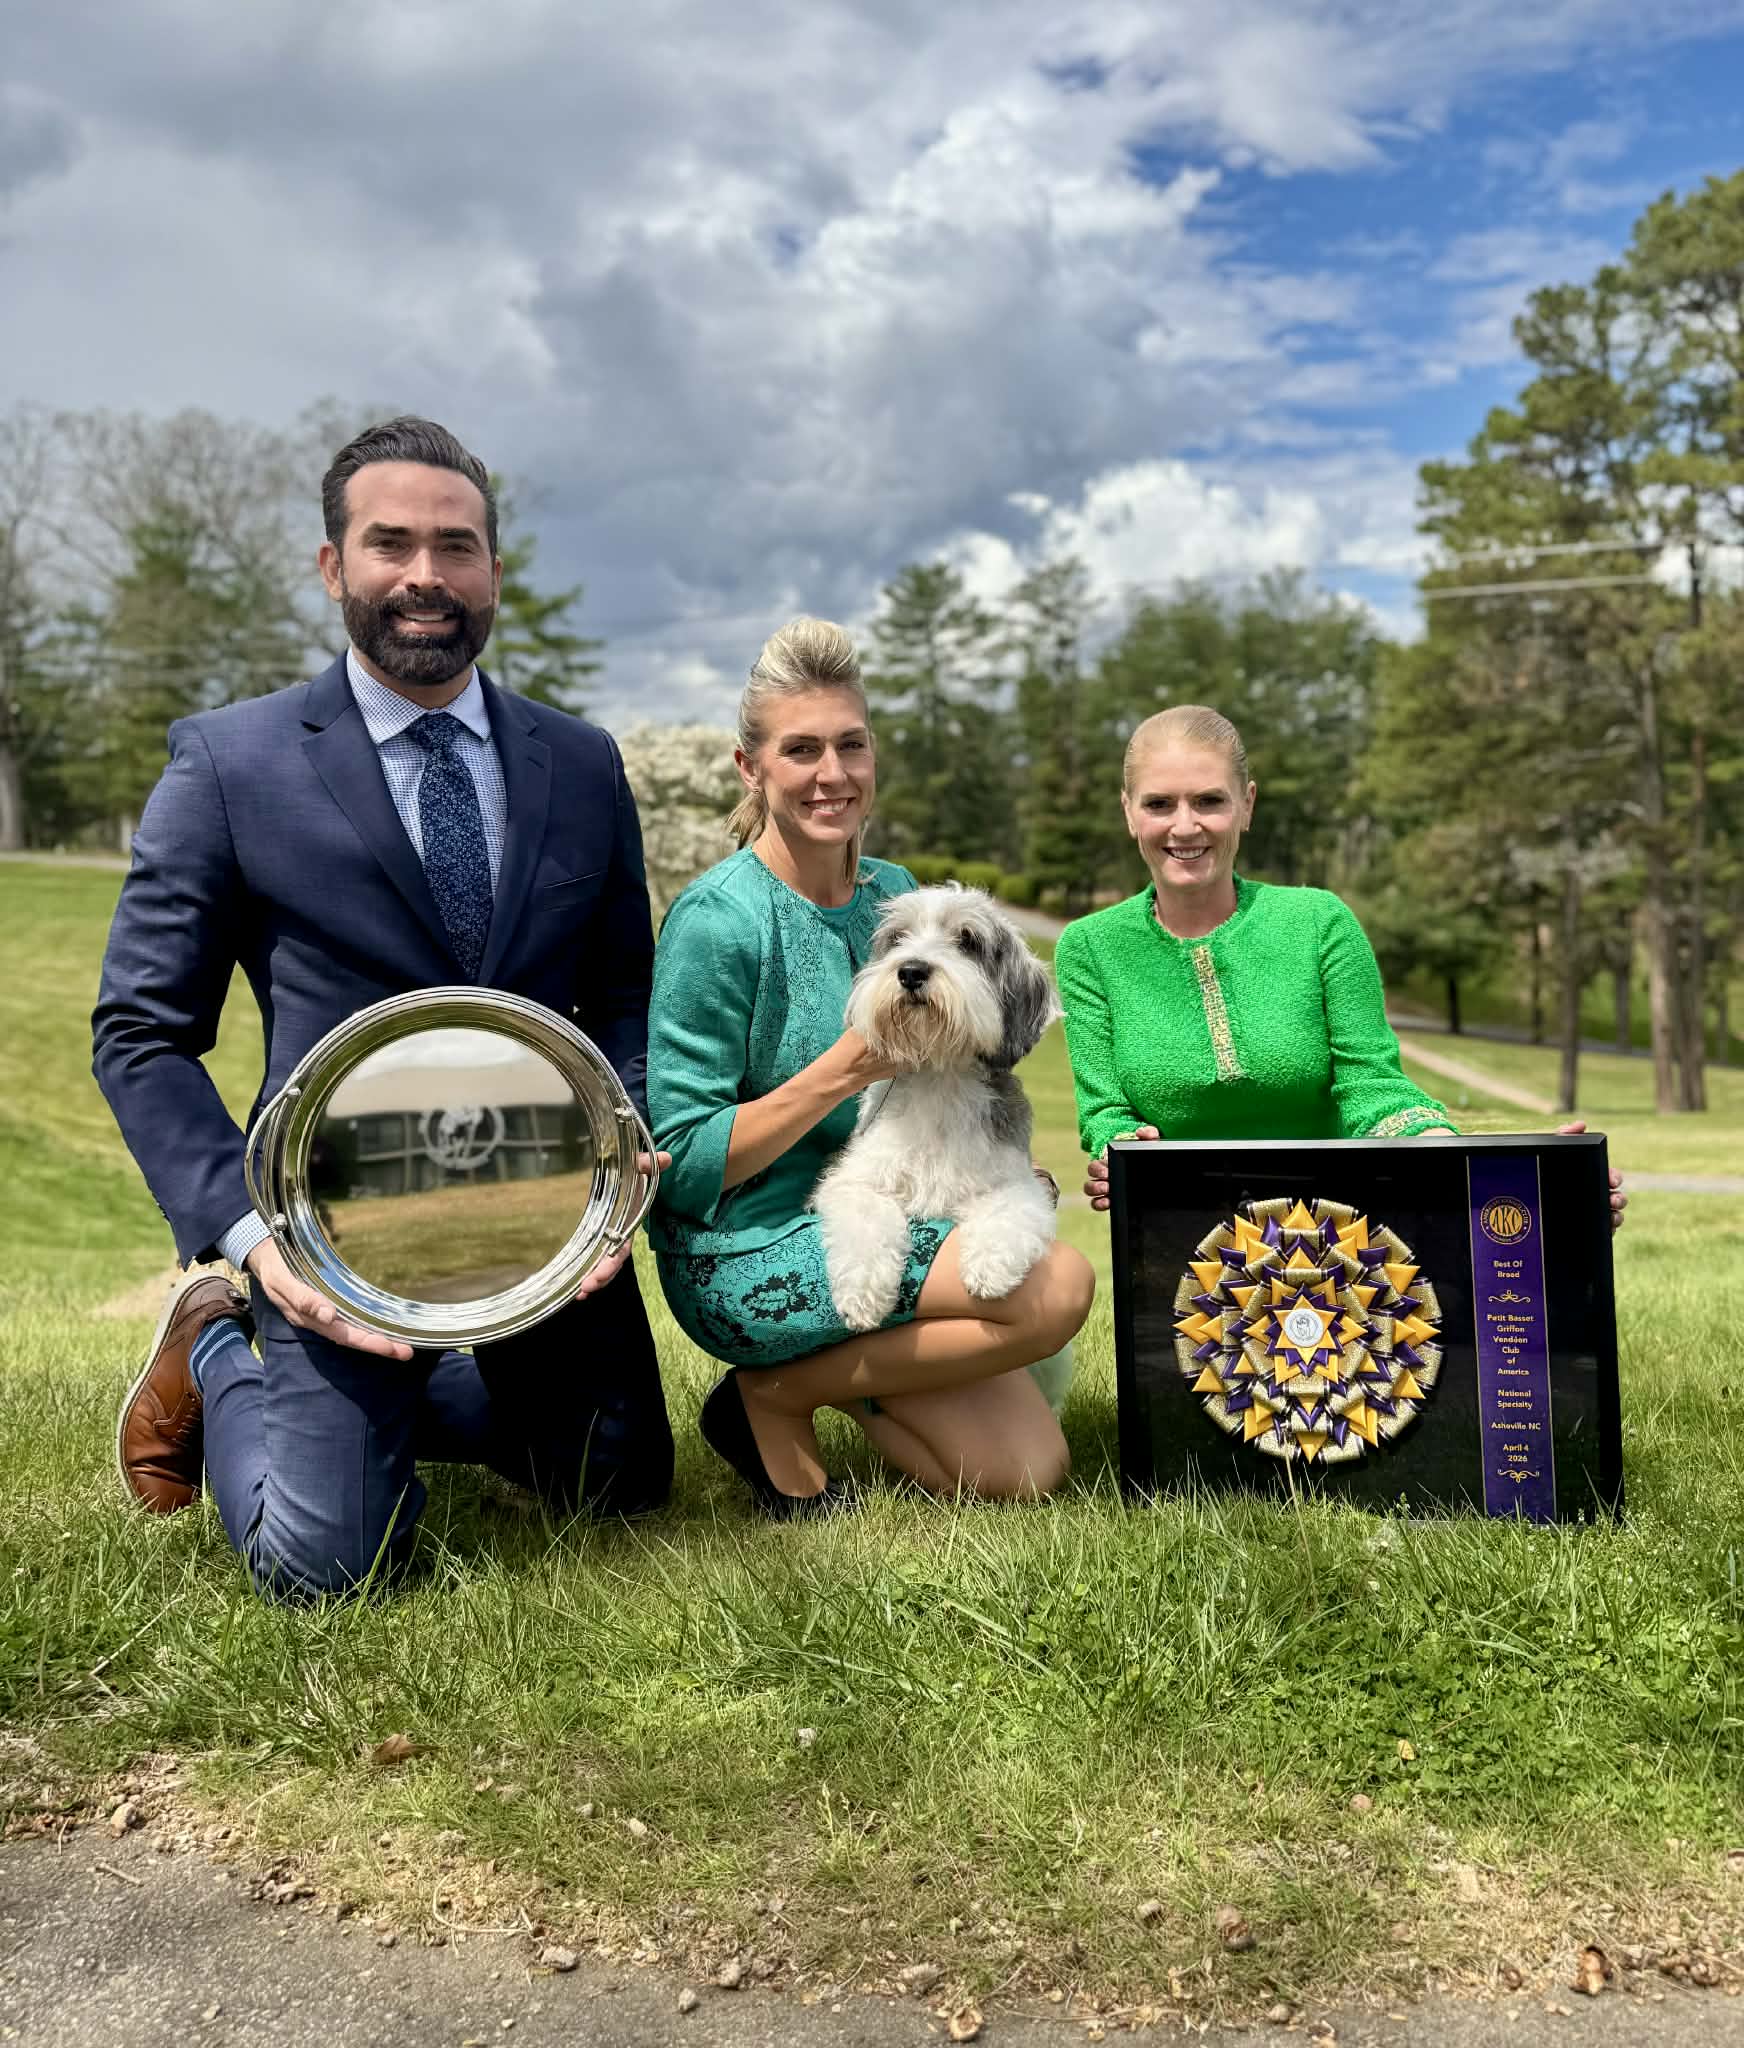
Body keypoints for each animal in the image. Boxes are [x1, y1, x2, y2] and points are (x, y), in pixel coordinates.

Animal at [811, 885, 1062, 1332]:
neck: (939, 1077)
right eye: (898, 938)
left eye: (967, 940)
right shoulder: (856, 1179)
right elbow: (867, 1213)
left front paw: (990, 1266)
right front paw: (863, 1294)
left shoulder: (1018, 1182)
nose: (911, 971)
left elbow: (1009, 1210)